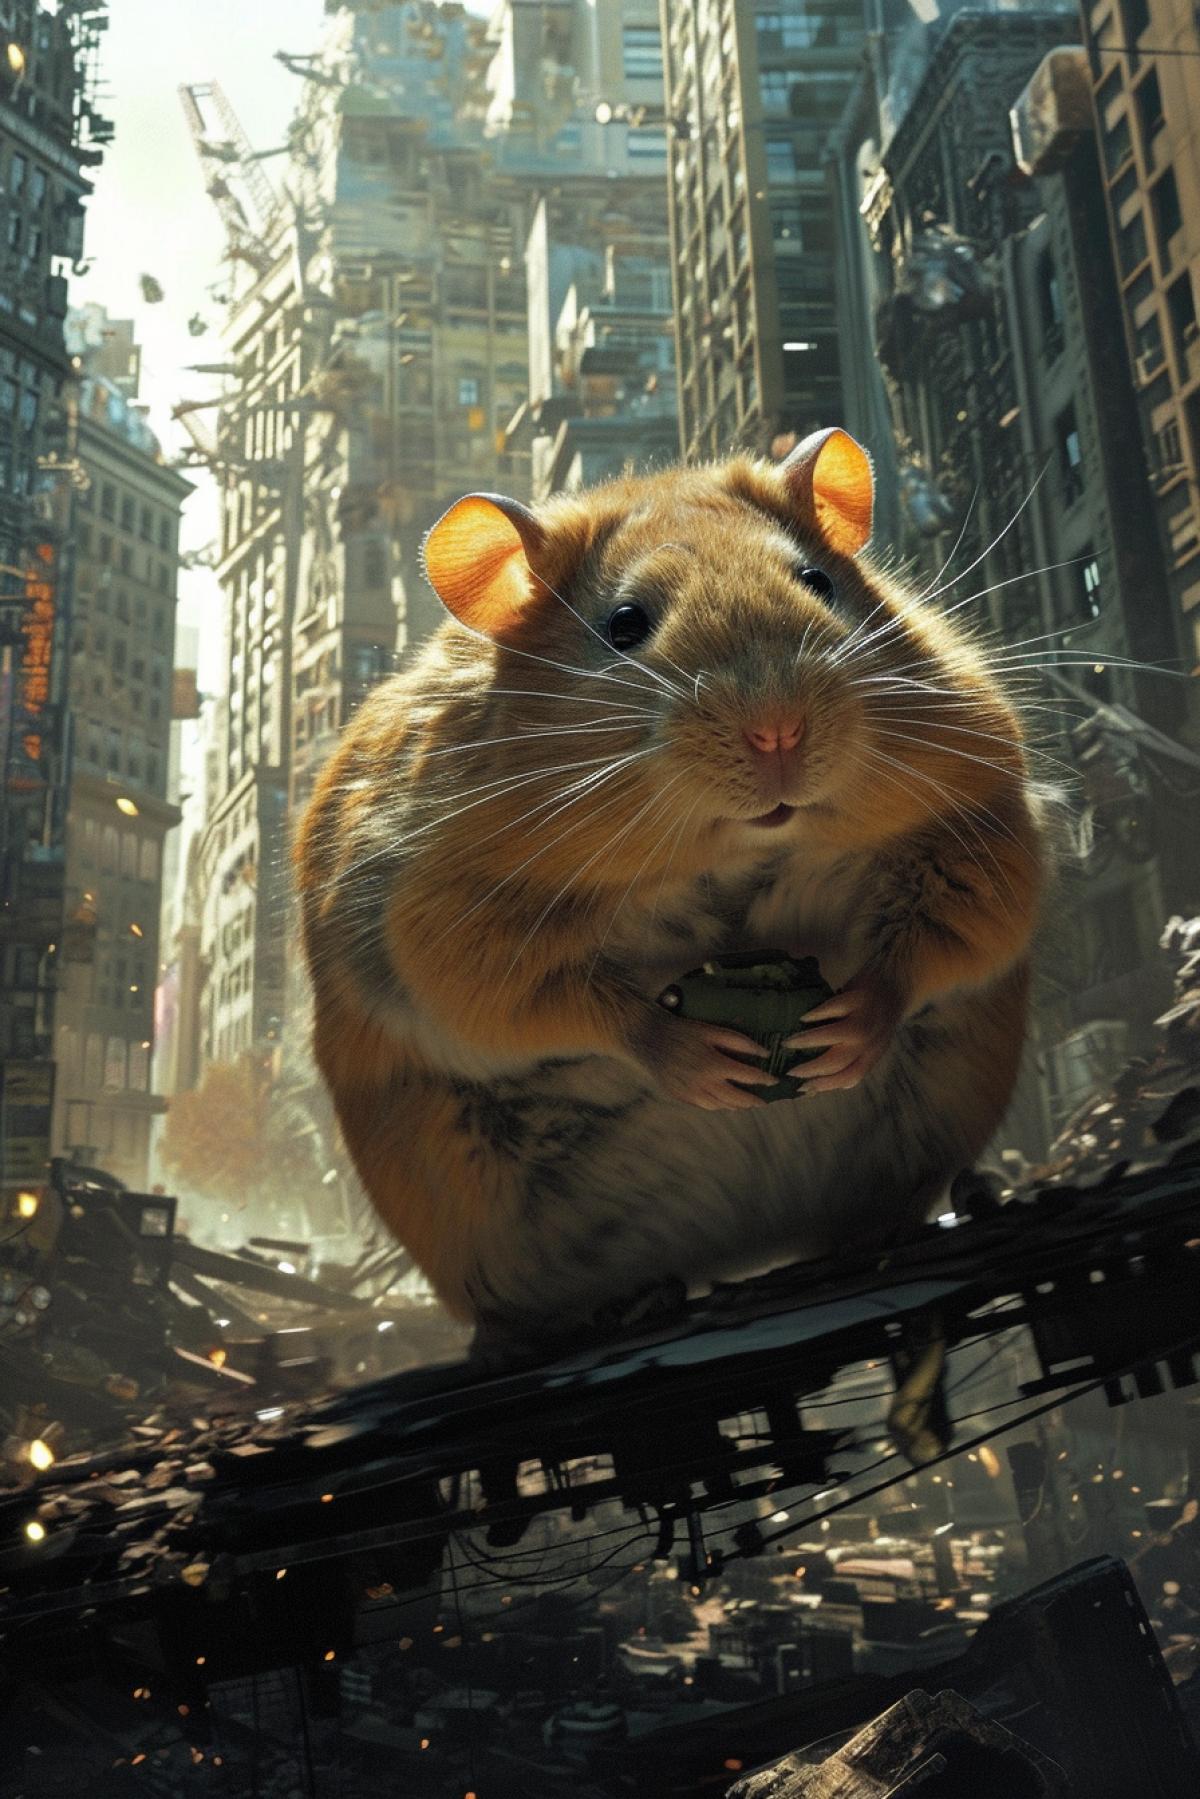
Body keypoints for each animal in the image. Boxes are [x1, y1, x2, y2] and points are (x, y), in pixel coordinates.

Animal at [295, 429, 1049, 1342]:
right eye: (625, 624)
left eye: (817, 581)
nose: (778, 731)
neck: (734, 851)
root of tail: (747, 1243)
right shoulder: (445, 920)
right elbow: (578, 1006)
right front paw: (693, 1056)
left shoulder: (982, 818)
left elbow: (937, 943)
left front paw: (852, 1024)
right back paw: (599, 1310)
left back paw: (947, 1207)